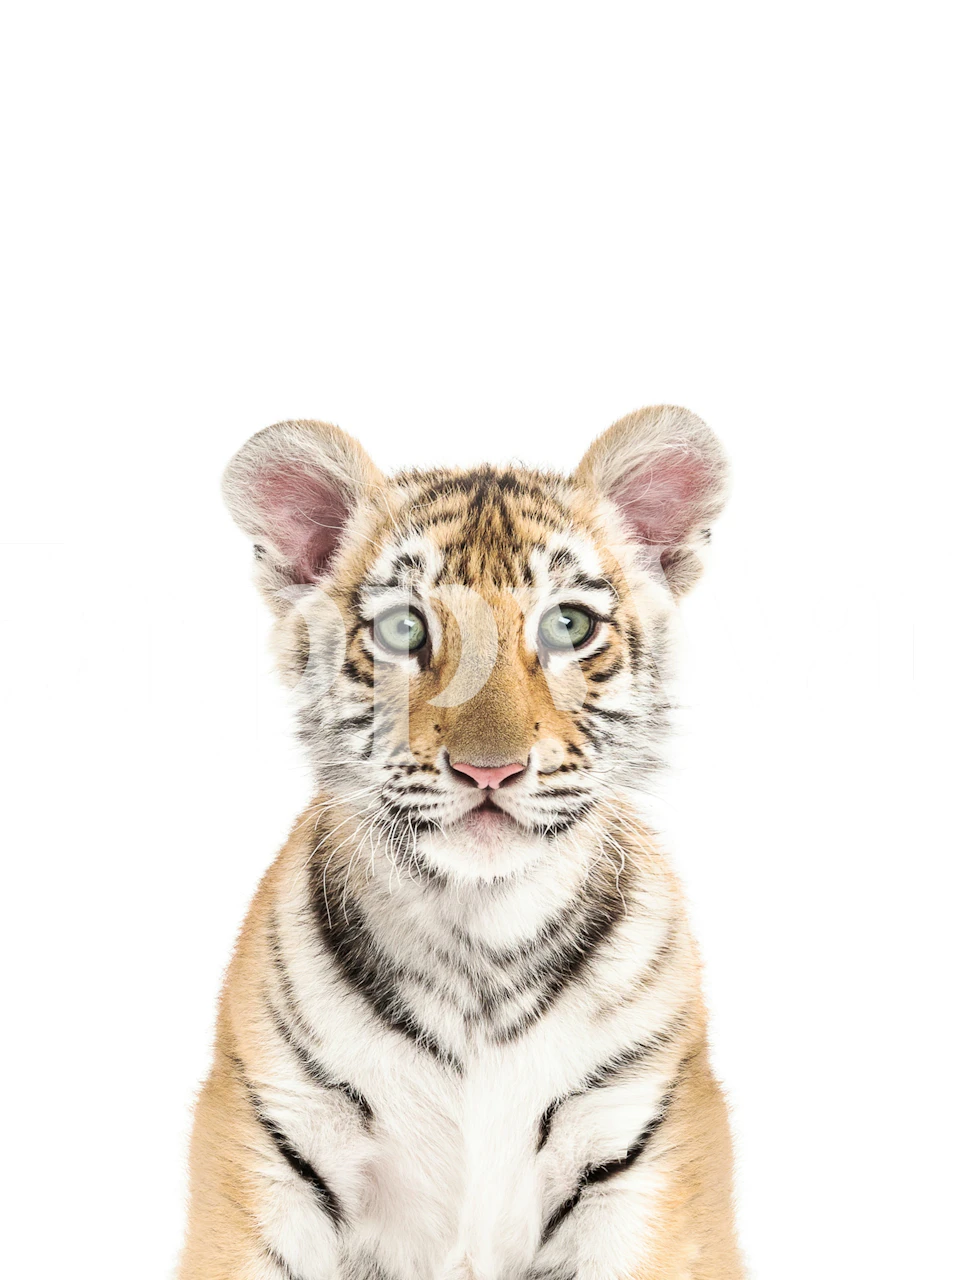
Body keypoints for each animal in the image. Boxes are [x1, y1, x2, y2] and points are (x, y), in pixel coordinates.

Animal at [177, 406, 744, 1280]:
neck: (482, 934)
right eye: (404, 627)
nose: (490, 768)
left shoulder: (642, 1152)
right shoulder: (272, 1140)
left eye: (568, 625)